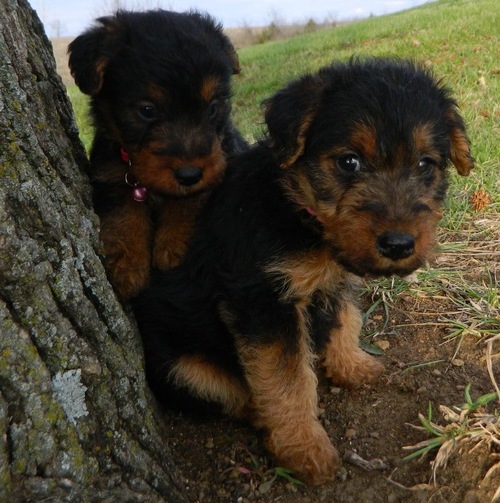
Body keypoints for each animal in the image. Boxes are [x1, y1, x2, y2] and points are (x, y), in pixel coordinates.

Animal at [67, 9, 247, 300]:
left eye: (212, 107)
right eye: (147, 110)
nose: (189, 174)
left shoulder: (222, 160)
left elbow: (193, 198)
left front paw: (171, 246)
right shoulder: (111, 172)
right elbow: (123, 212)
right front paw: (127, 267)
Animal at [132, 58, 472, 484]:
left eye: (426, 164)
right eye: (348, 162)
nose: (399, 245)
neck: (299, 213)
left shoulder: (336, 278)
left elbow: (346, 318)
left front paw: (352, 365)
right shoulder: (263, 300)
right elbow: (287, 379)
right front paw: (303, 448)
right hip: (179, 365)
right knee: (226, 393)